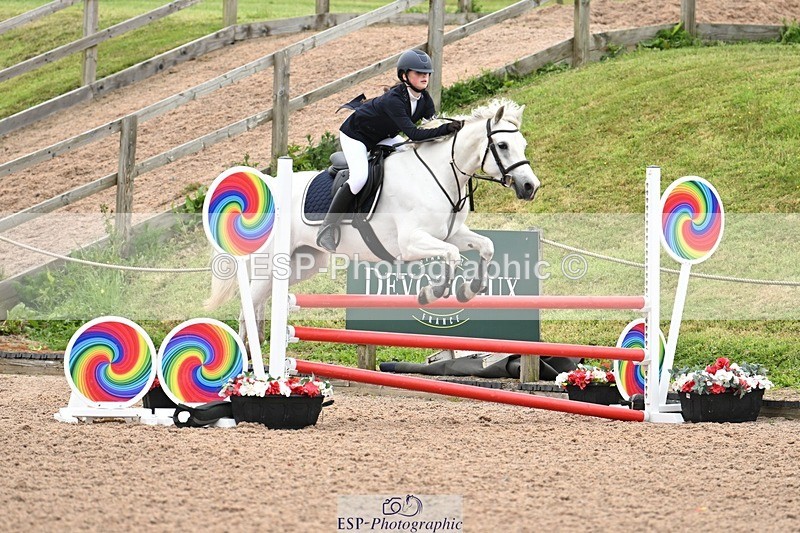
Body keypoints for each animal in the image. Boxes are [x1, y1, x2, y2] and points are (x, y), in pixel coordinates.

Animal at [205, 98, 540, 344]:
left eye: (523, 145)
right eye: (502, 146)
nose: (530, 187)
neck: (437, 174)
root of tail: (269, 189)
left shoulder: (450, 234)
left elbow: (485, 246)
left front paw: (469, 290)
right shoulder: (411, 243)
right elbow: (453, 255)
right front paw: (432, 292)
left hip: (302, 263)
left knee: (260, 304)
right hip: (272, 262)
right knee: (248, 309)